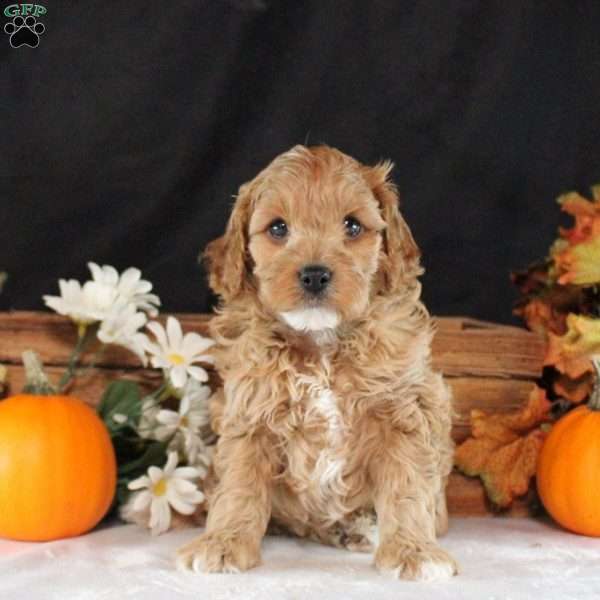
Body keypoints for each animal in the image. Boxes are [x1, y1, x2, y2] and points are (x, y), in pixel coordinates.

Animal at [176, 143, 458, 580]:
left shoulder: (404, 412)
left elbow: (407, 485)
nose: (314, 275)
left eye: (353, 226)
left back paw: (361, 527)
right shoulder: (249, 416)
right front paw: (223, 542)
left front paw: (413, 550)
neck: (321, 345)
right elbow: (239, 487)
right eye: (277, 228)